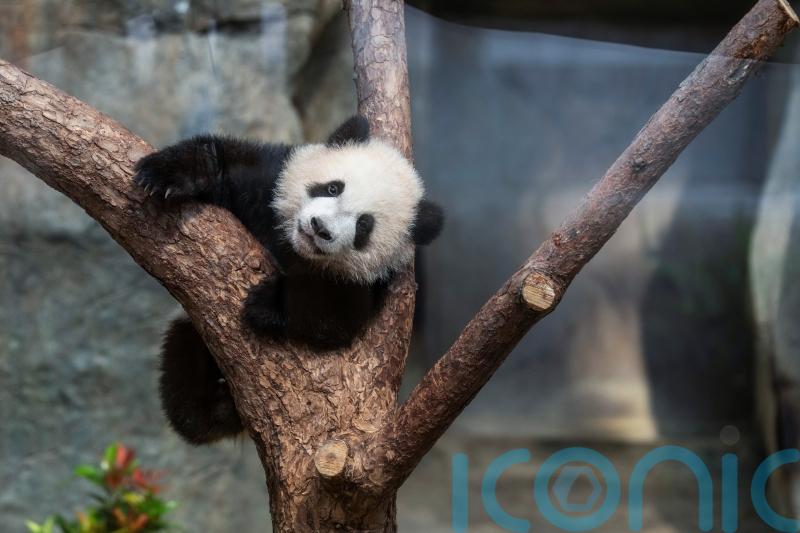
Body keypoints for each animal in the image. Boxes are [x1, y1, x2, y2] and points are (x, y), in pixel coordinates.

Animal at [134, 116, 444, 444]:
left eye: (364, 225)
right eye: (333, 187)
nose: (320, 228)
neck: (294, 248)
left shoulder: (366, 285)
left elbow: (331, 314)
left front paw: (268, 302)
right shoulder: (267, 184)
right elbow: (229, 165)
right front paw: (167, 175)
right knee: (183, 376)